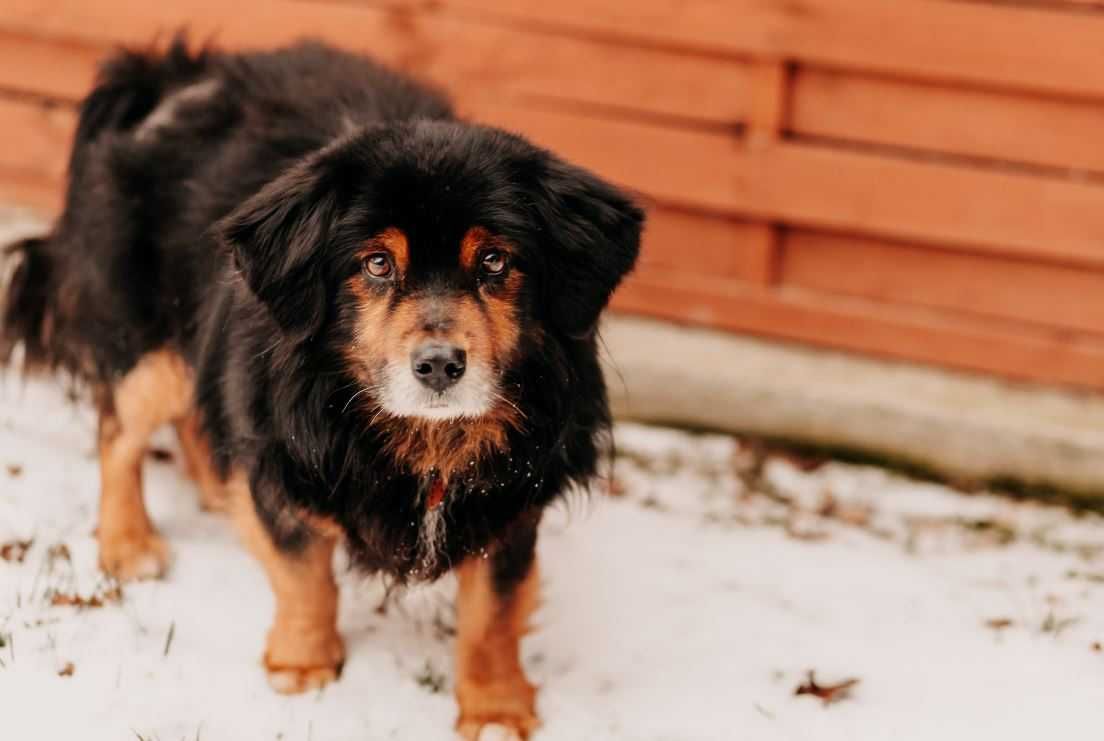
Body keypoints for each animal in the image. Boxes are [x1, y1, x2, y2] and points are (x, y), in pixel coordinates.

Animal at [0, 39, 644, 741]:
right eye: (377, 263)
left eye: (495, 261)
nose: (439, 365)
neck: (426, 440)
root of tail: (180, 73)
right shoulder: (290, 463)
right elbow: (306, 576)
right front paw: (304, 664)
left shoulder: (511, 499)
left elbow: (492, 615)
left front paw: (495, 707)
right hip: (155, 348)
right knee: (119, 429)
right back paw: (129, 544)